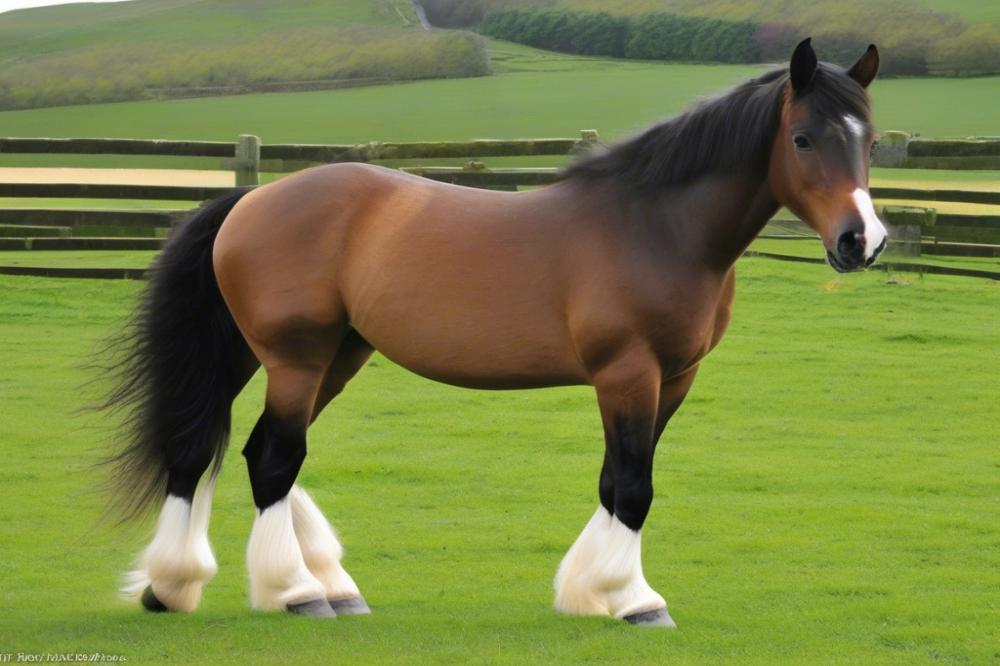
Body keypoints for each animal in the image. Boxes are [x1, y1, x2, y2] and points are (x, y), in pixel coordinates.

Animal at [101, 39, 884, 624]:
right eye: (802, 138)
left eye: (871, 141)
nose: (862, 242)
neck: (654, 227)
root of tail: (250, 200)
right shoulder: (627, 372)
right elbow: (633, 486)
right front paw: (633, 600)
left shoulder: (674, 379)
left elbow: (613, 482)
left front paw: (586, 591)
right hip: (294, 357)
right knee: (268, 457)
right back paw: (292, 591)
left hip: (323, 355)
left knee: (216, 450)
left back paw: (192, 586)